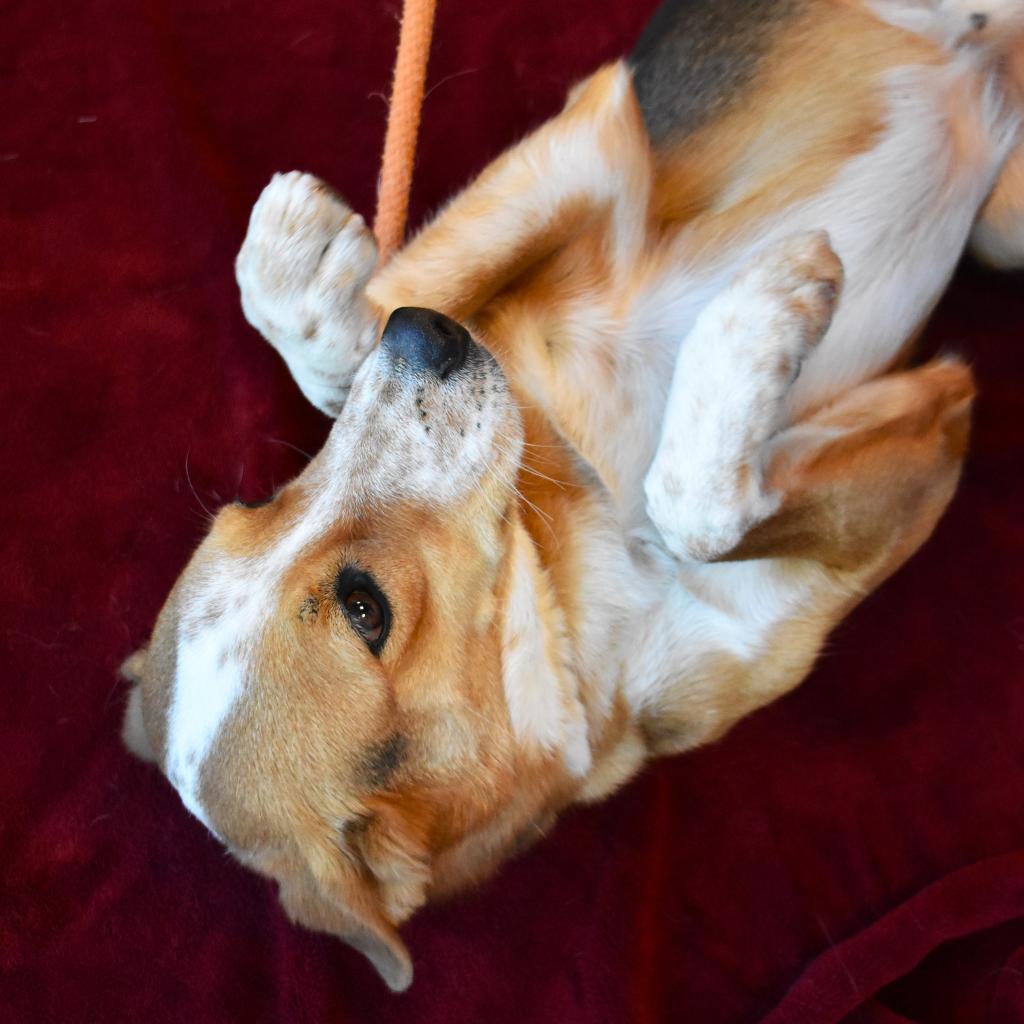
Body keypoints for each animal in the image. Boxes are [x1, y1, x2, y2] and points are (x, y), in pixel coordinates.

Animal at [117, 0, 1024, 991]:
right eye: (366, 611)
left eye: (262, 503)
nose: (431, 342)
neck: (578, 569)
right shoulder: (903, 471)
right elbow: (700, 508)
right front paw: (771, 309)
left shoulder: (593, 148)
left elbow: (390, 299)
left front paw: (302, 264)